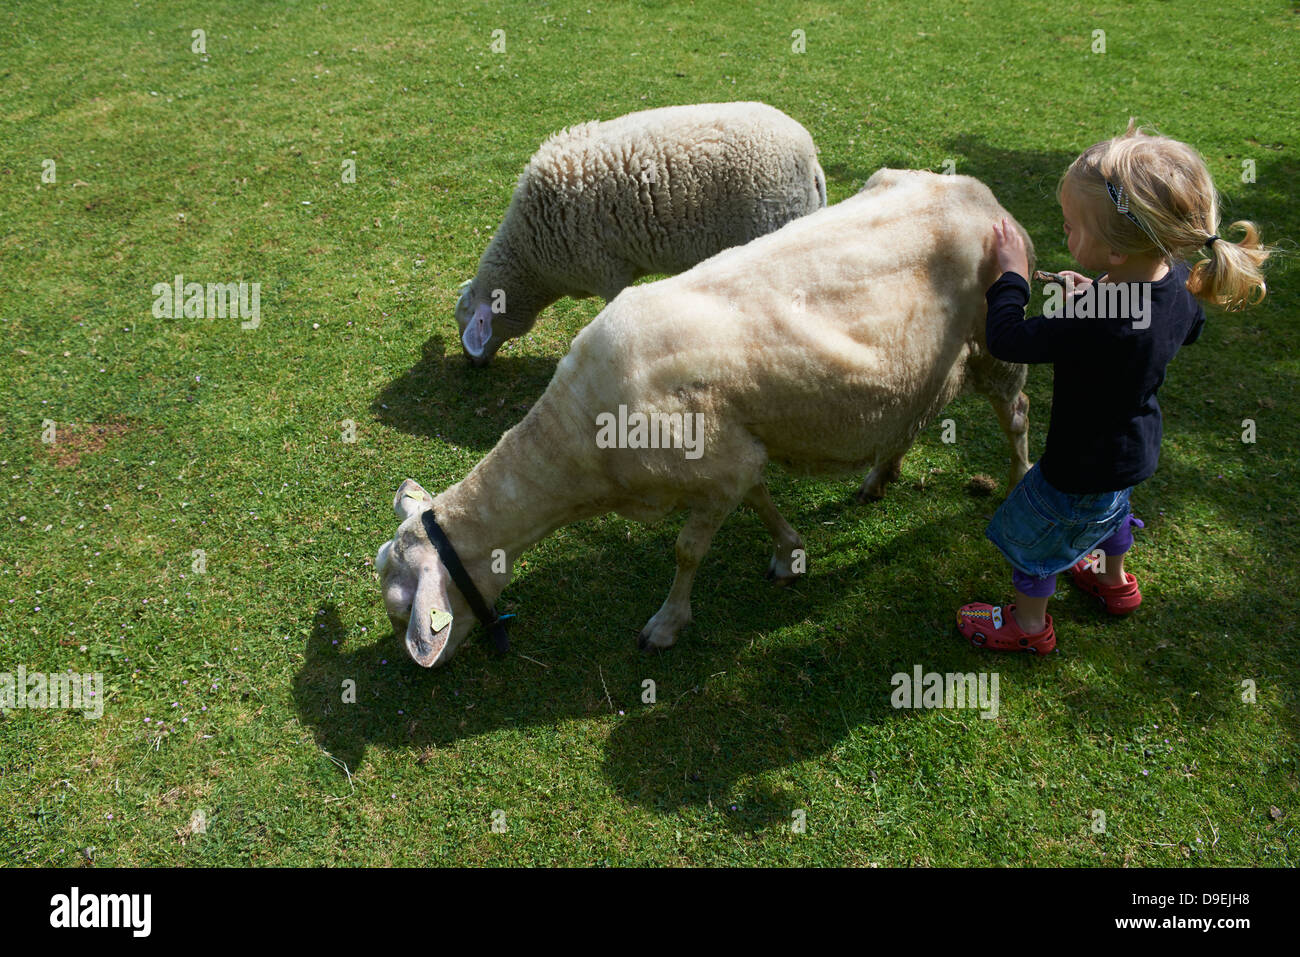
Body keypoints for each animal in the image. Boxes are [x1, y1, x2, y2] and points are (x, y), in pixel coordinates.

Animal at [379, 170, 1029, 665]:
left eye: (402, 608)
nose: (421, 667)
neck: (579, 446)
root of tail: (977, 193)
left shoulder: (715, 469)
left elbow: (687, 551)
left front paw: (666, 625)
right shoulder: (731, 455)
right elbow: (760, 497)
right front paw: (790, 554)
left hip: (995, 347)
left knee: (1016, 416)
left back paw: (1017, 486)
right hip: (929, 364)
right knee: (913, 415)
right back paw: (879, 477)